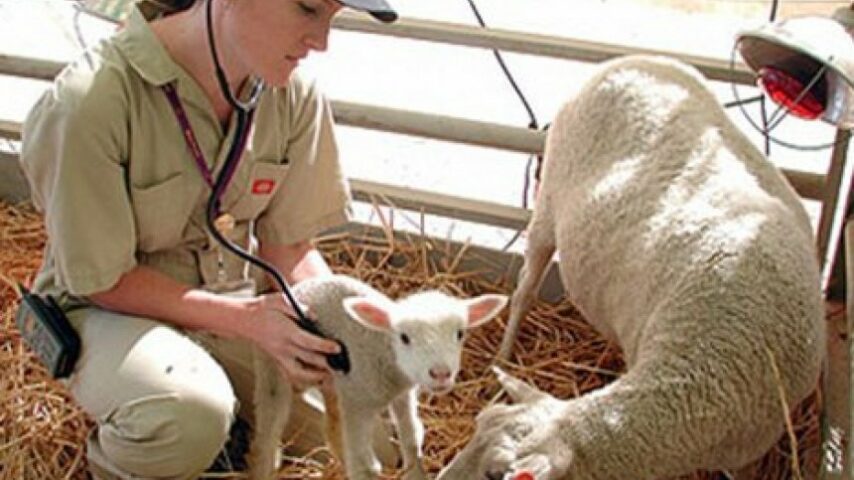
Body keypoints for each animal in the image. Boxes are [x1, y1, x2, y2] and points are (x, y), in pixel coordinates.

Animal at [247, 274, 508, 480]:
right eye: (404, 338)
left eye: (460, 334)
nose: (441, 373)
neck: (384, 350)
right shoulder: (359, 403)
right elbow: (365, 466)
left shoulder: (401, 393)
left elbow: (412, 438)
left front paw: (416, 474)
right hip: (274, 364)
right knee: (267, 434)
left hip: (336, 383)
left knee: (333, 428)